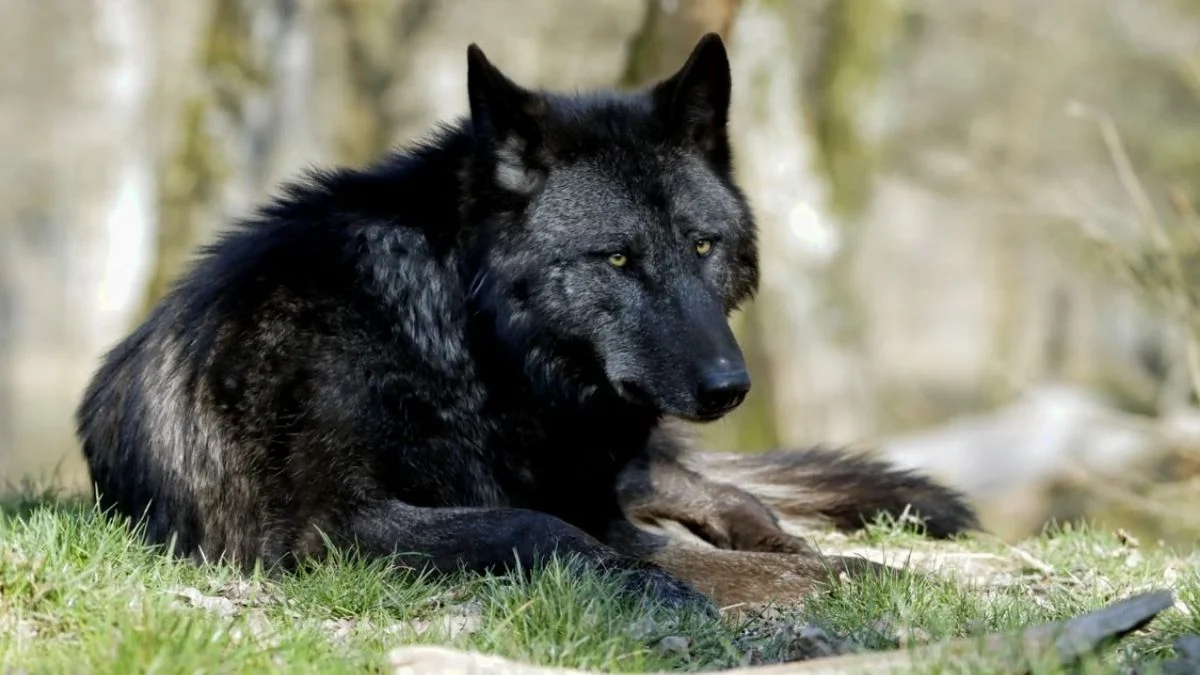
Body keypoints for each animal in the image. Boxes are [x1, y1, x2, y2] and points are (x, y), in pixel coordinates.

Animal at [76, 33, 977, 610]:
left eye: (702, 244)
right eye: (617, 259)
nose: (730, 385)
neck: (454, 344)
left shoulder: (595, 493)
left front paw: (847, 569)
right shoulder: (331, 528)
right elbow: (541, 527)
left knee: (718, 490)